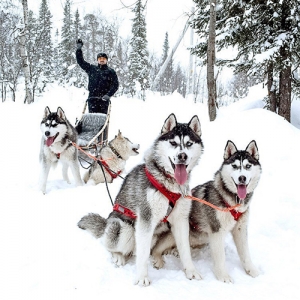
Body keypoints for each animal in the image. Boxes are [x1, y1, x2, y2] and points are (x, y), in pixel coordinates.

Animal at [77, 114, 204, 286]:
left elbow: (185, 250)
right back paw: (118, 256)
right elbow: (142, 255)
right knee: (112, 246)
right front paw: (142, 277)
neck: (169, 183)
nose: (182, 156)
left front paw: (191, 271)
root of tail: (106, 222)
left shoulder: (180, 220)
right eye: (173, 143)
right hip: (124, 228)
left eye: (189, 144)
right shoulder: (146, 219)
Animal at [151, 139, 262, 282]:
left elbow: (245, 254)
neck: (234, 203)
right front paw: (223, 276)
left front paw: (252, 271)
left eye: (248, 166)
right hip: (175, 233)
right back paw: (160, 259)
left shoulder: (240, 229)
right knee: (155, 249)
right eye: (235, 166)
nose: (242, 178)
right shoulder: (217, 231)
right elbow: (220, 258)